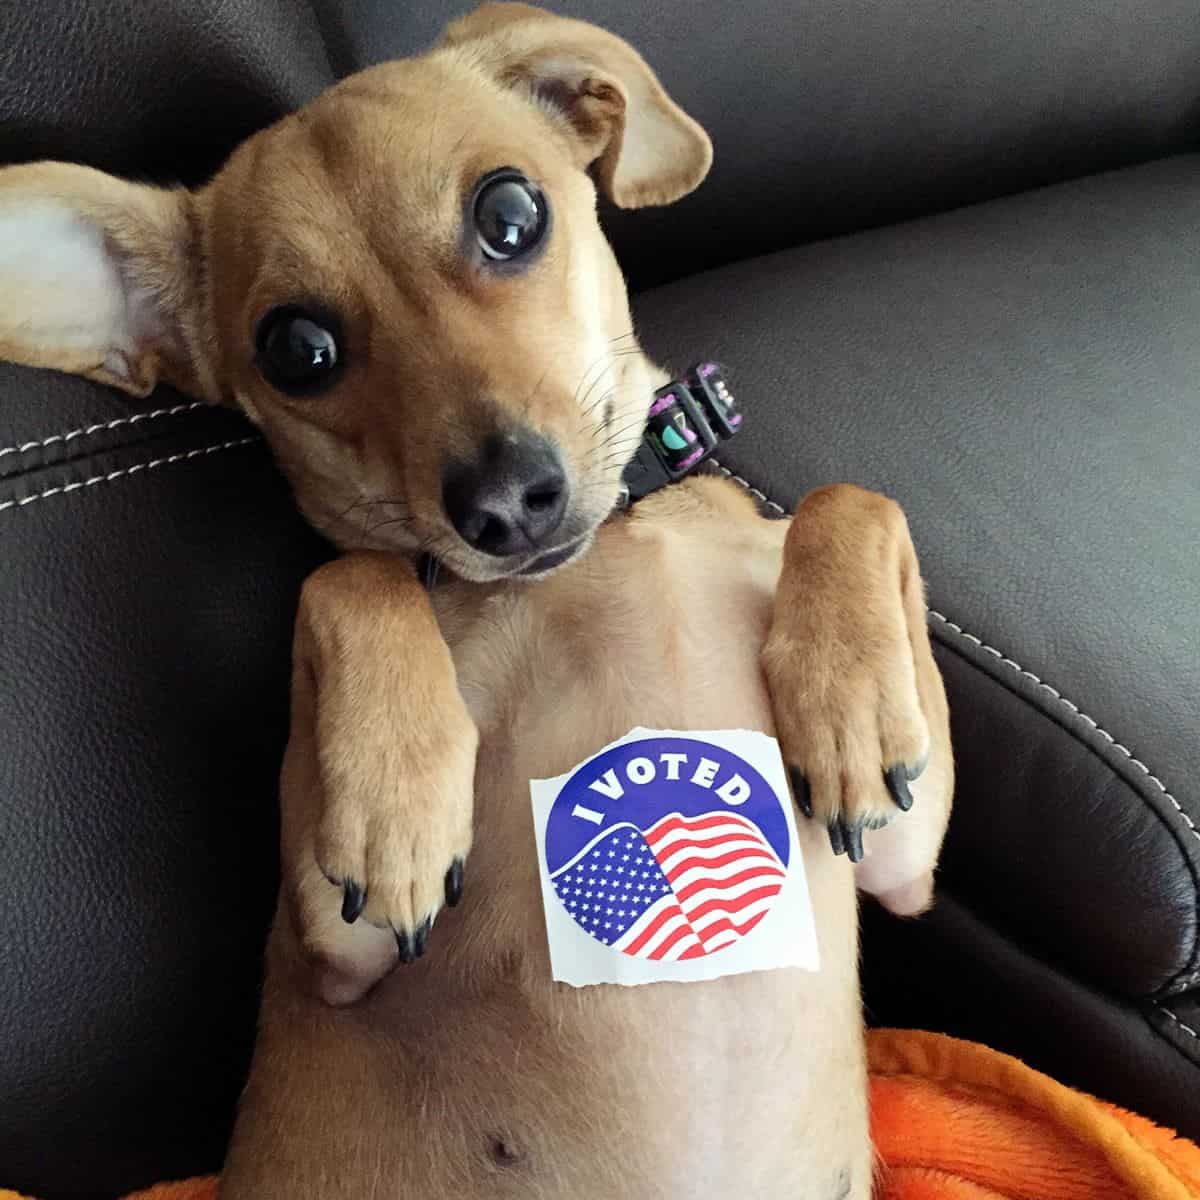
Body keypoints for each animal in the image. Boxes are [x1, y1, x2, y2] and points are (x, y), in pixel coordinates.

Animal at [0, 4, 955, 1195]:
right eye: (295, 350)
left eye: (509, 213)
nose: (504, 503)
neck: (607, 552)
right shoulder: (334, 949)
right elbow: (350, 576)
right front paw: (397, 803)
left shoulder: (904, 862)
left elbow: (854, 498)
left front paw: (852, 703)